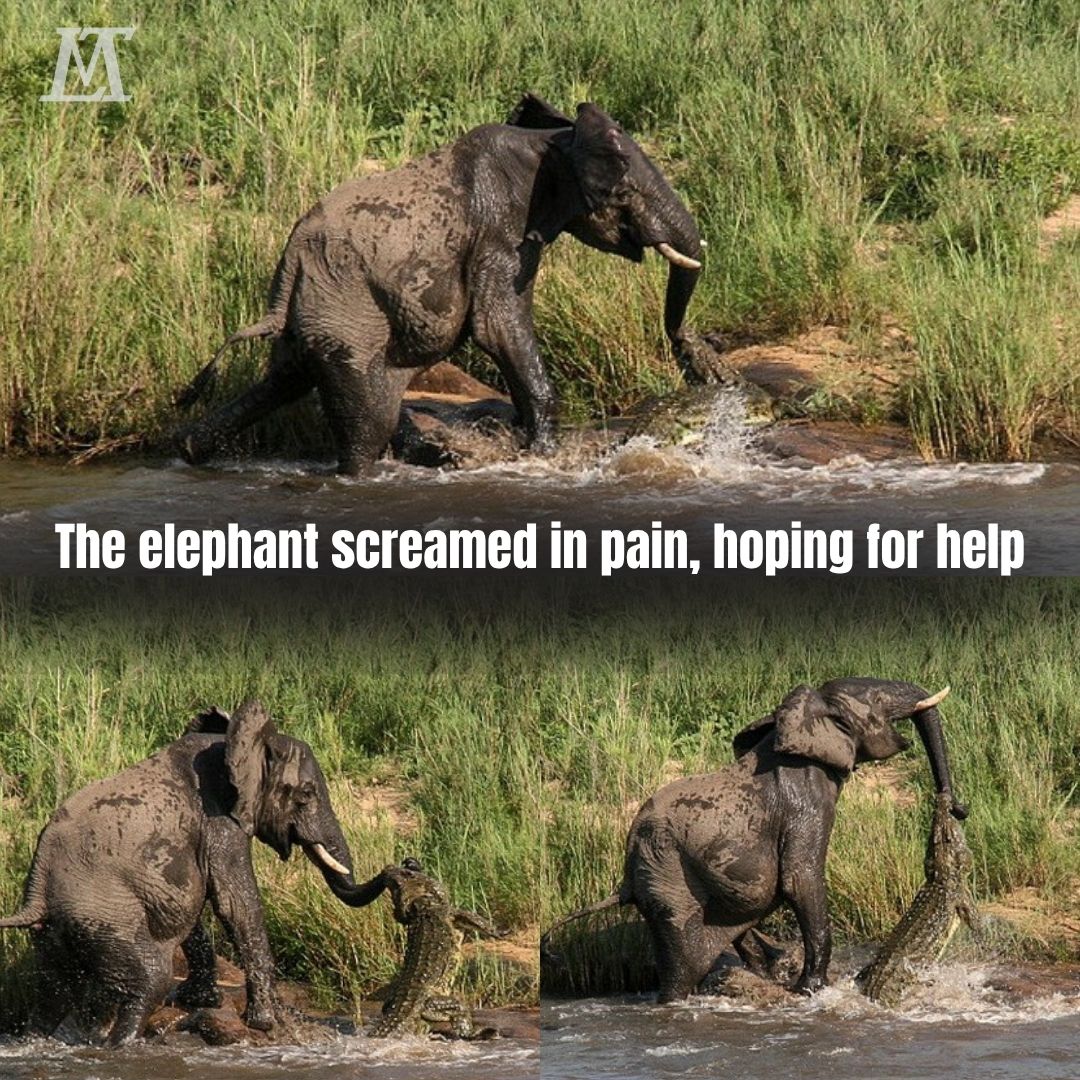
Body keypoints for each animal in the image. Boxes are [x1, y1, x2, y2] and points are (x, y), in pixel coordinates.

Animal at [0, 700, 390, 1045]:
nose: (397, 867)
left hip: (56, 934)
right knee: (148, 983)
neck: (233, 745)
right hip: (104, 917)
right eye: (306, 794)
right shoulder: (219, 822)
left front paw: (201, 1002)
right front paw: (268, 1021)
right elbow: (235, 903)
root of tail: (36, 890)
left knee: (50, 998)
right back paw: (120, 1045)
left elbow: (195, 909)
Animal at [174, 93, 704, 473]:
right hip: (347, 316)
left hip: (315, 314)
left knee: (284, 381)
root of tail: (289, 265)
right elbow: (498, 326)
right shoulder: (498, 233)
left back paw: (190, 451)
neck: (548, 142)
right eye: (623, 194)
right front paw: (542, 456)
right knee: (365, 427)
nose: (689, 347)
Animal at [543, 678, 965, 1004]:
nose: (956, 808)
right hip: (667, 881)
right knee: (681, 965)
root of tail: (627, 879)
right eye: (877, 698)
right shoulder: (805, 800)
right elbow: (800, 879)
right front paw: (811, 990)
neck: (804, 719)